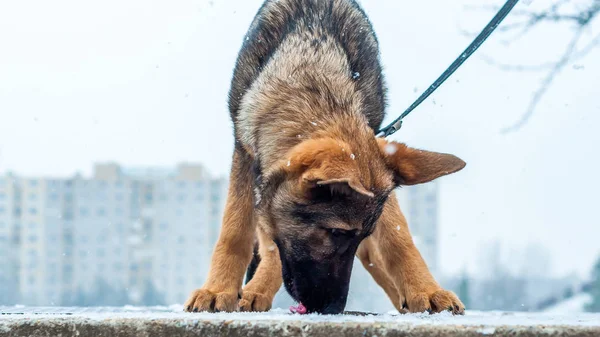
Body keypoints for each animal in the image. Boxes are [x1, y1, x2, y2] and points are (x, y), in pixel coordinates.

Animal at [185, 0, 466, 316]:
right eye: (335, 231)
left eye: (359, 234)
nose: (333, 307)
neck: (312, 71)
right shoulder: (244, 155)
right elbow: (235, 230)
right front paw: (218, 289)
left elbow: (398, 236)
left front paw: (425, 291)